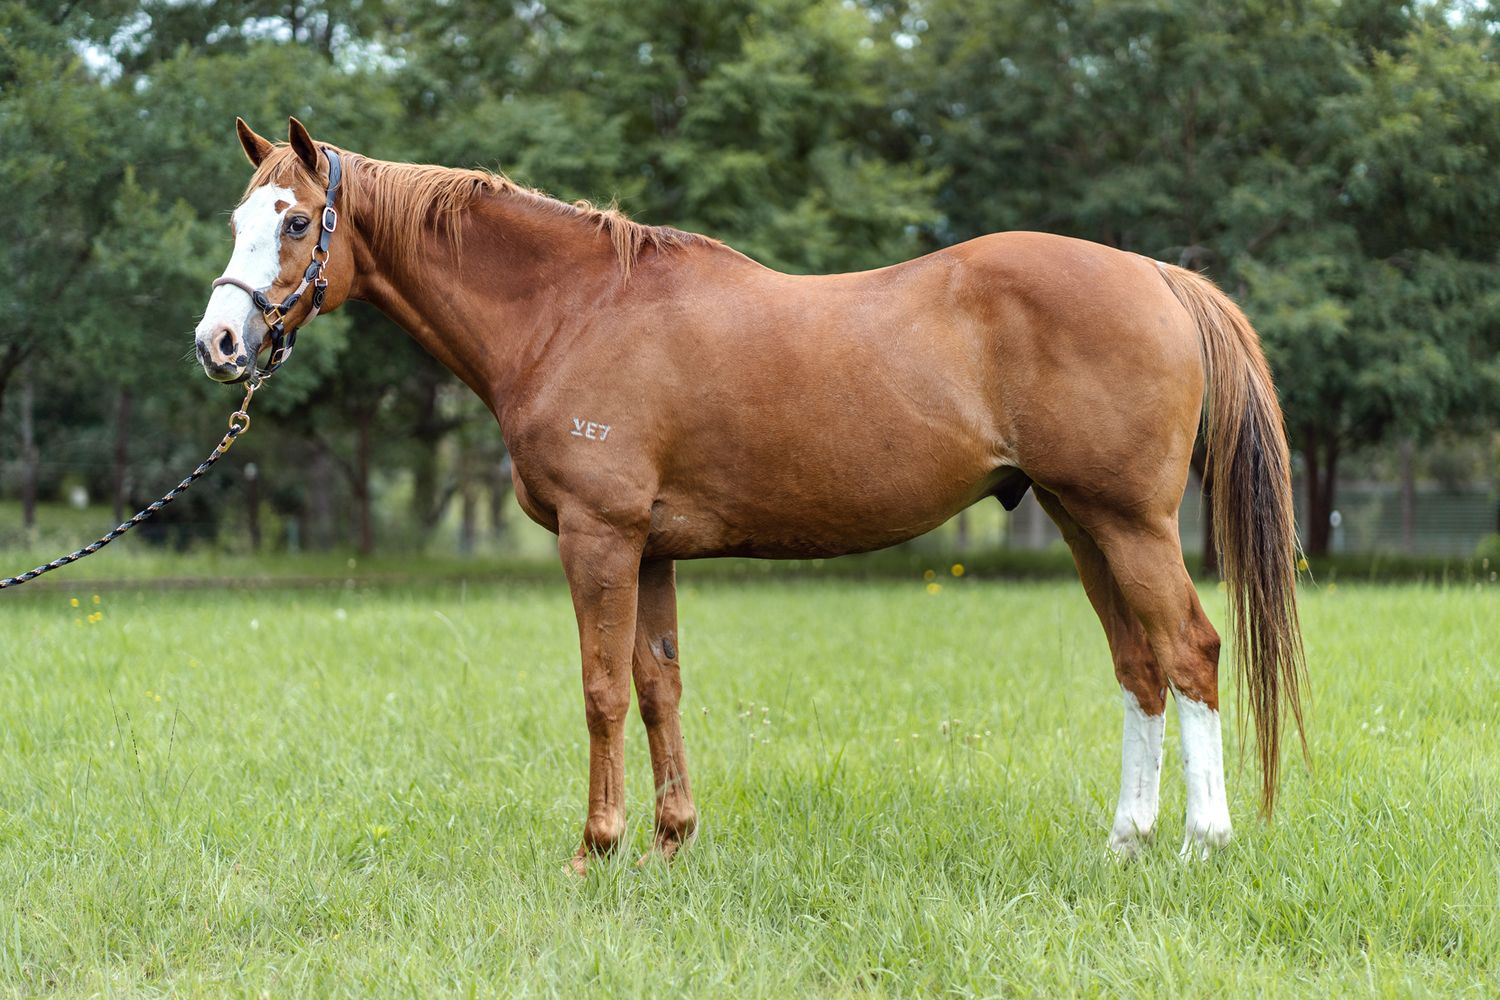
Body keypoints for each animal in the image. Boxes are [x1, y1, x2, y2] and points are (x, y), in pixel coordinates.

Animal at [196, 118, 1306, 869]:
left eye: (296, 221)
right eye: (239, 218)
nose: (219, 343)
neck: (572, 311)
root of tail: (1157, 275)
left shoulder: (598, 539)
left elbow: (601, 691)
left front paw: (597, 847)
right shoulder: (649, 549)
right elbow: (657, 688)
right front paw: (670, 841)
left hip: (1130, 524)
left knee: (1191, 651)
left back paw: (1202, 842)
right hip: (1083, 524)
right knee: (1139, 667)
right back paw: (1126, 838)